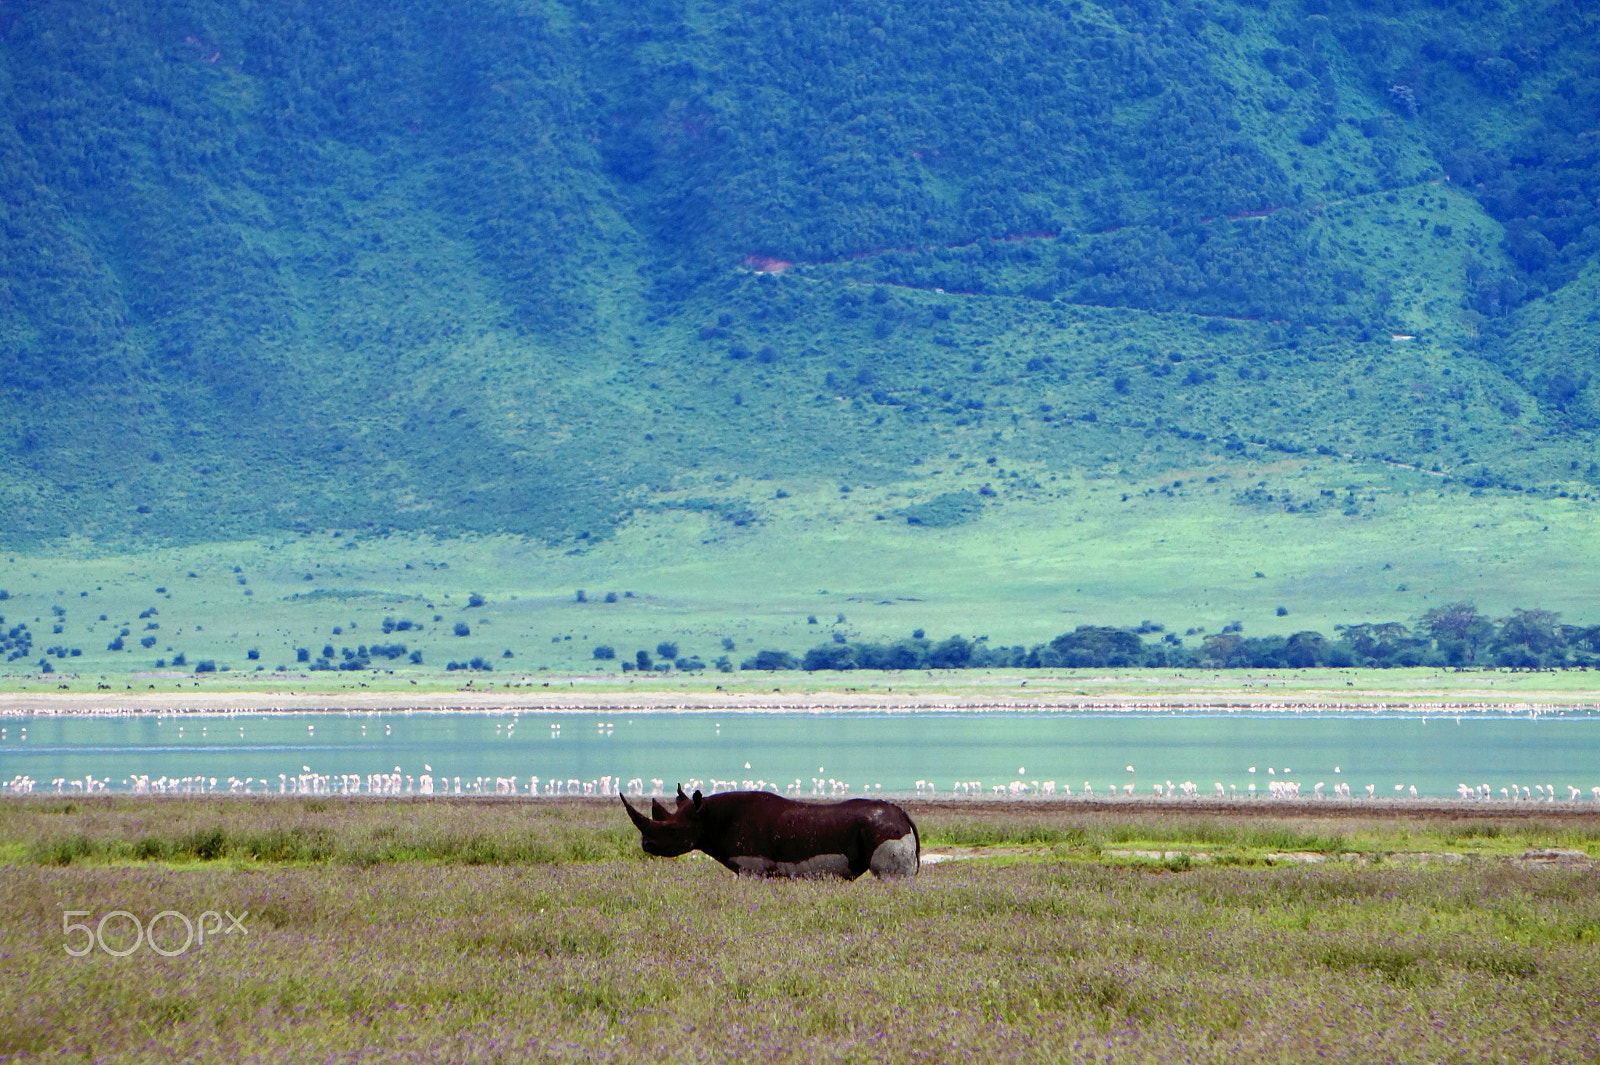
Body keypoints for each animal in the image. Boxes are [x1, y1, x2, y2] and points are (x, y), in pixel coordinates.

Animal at [620, 785, 919, 879]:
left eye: (672, 829)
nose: (646, 845)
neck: (707, 817)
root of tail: (905, 816)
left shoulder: (752, 866)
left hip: (885, 830)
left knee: (890, 878)